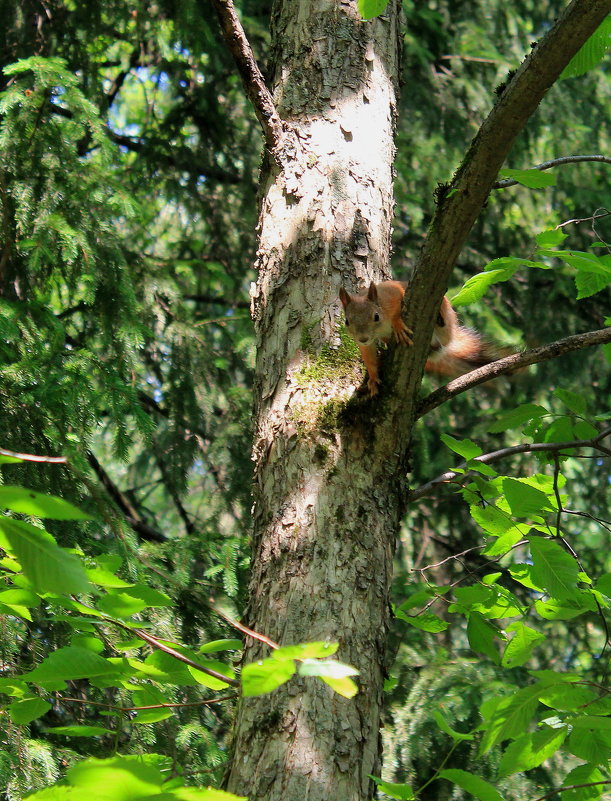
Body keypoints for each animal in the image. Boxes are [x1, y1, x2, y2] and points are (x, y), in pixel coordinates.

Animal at [340, 280, 502, 396]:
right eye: (347, 321)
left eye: (376, 316)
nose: (362, 338)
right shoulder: (367, 344)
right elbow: (369, 358)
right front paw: (373, 379)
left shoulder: (391, 293)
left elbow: (397, 307)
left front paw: (397, 324)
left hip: (446, 326)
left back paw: (439, 320)